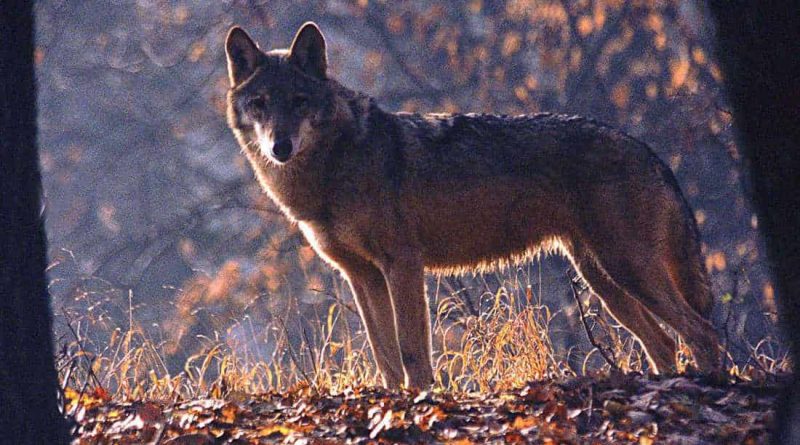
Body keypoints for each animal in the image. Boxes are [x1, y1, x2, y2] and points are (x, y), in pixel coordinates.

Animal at [223, 22, 721, 388]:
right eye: (260, 103)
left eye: (299, 101)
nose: (280, 147)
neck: (335, 166)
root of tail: (646, 148)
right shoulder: (361, 275)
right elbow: (385, 357)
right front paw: (392, 401)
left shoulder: (402, 264)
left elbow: (411, 351)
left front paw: (421, 401)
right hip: (604, 280)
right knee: (665, 344)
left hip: (625, 269)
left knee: (701, 331)